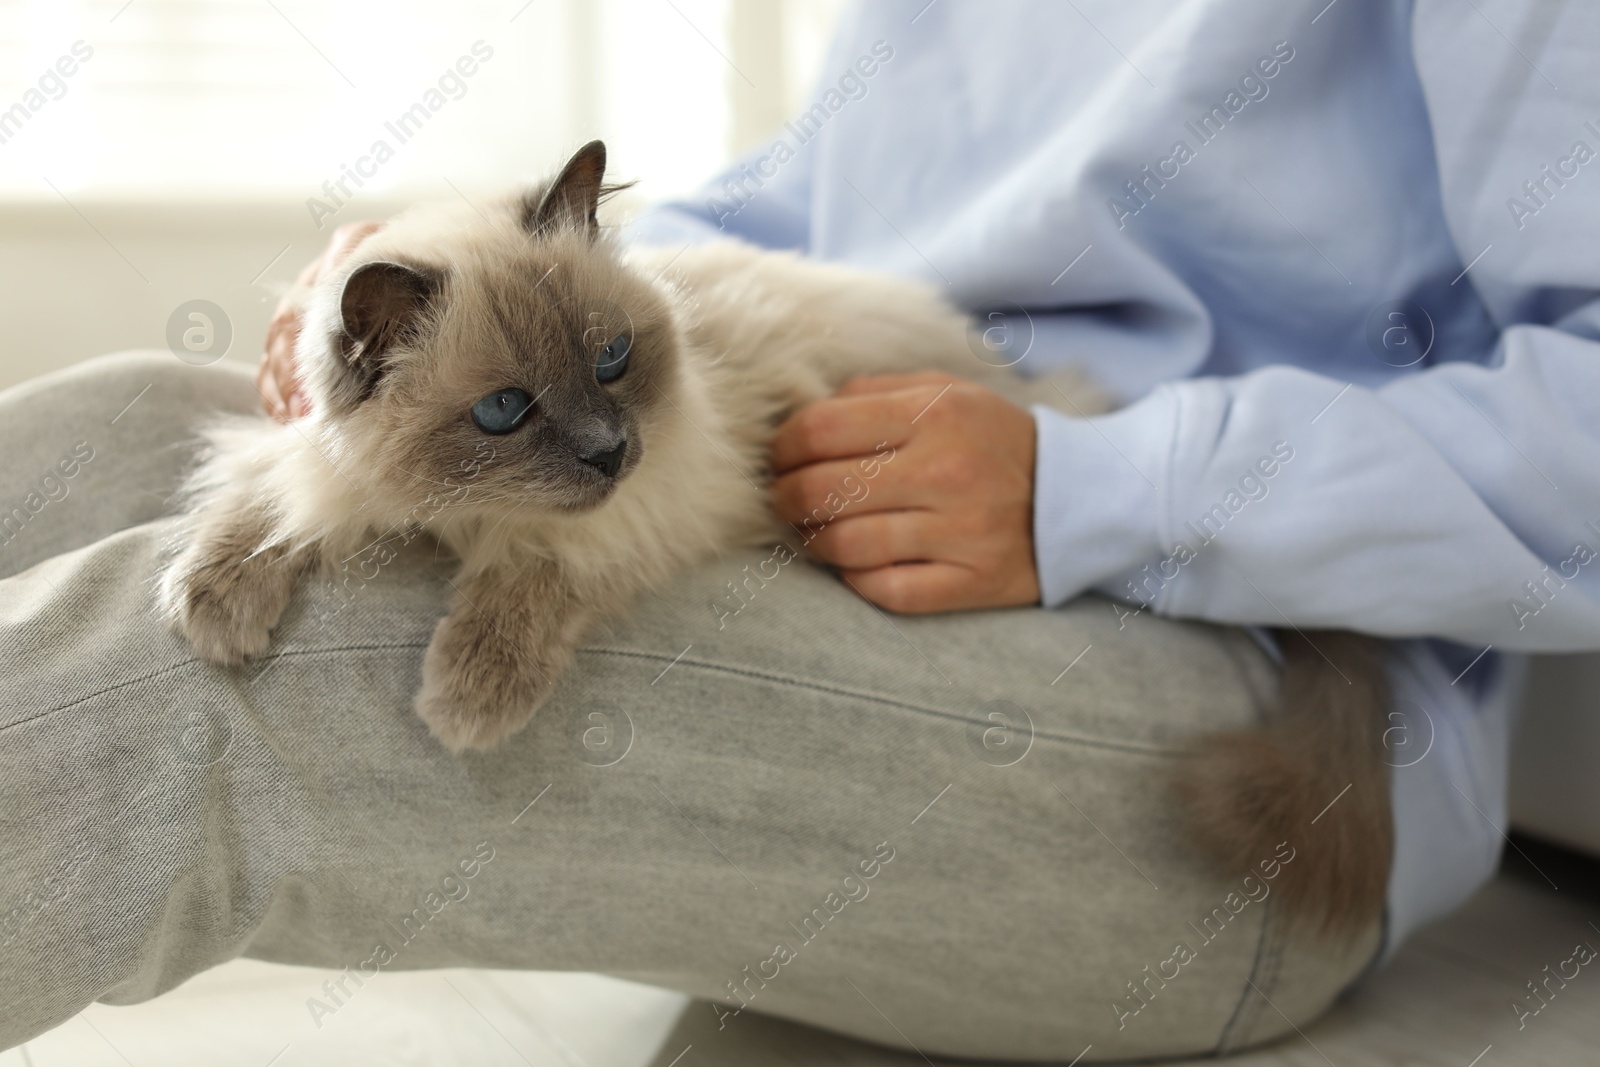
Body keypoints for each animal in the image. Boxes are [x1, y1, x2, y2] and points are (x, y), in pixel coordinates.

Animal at [156, 139, 1395, 934]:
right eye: (505, 410)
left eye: (612, 359)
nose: (609, 449)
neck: (456, 512)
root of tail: (1027, 383)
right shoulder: (313, 466)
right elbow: (253, 502)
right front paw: (212, 608)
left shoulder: (654, 502)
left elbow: (533, 571)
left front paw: (466, 697)